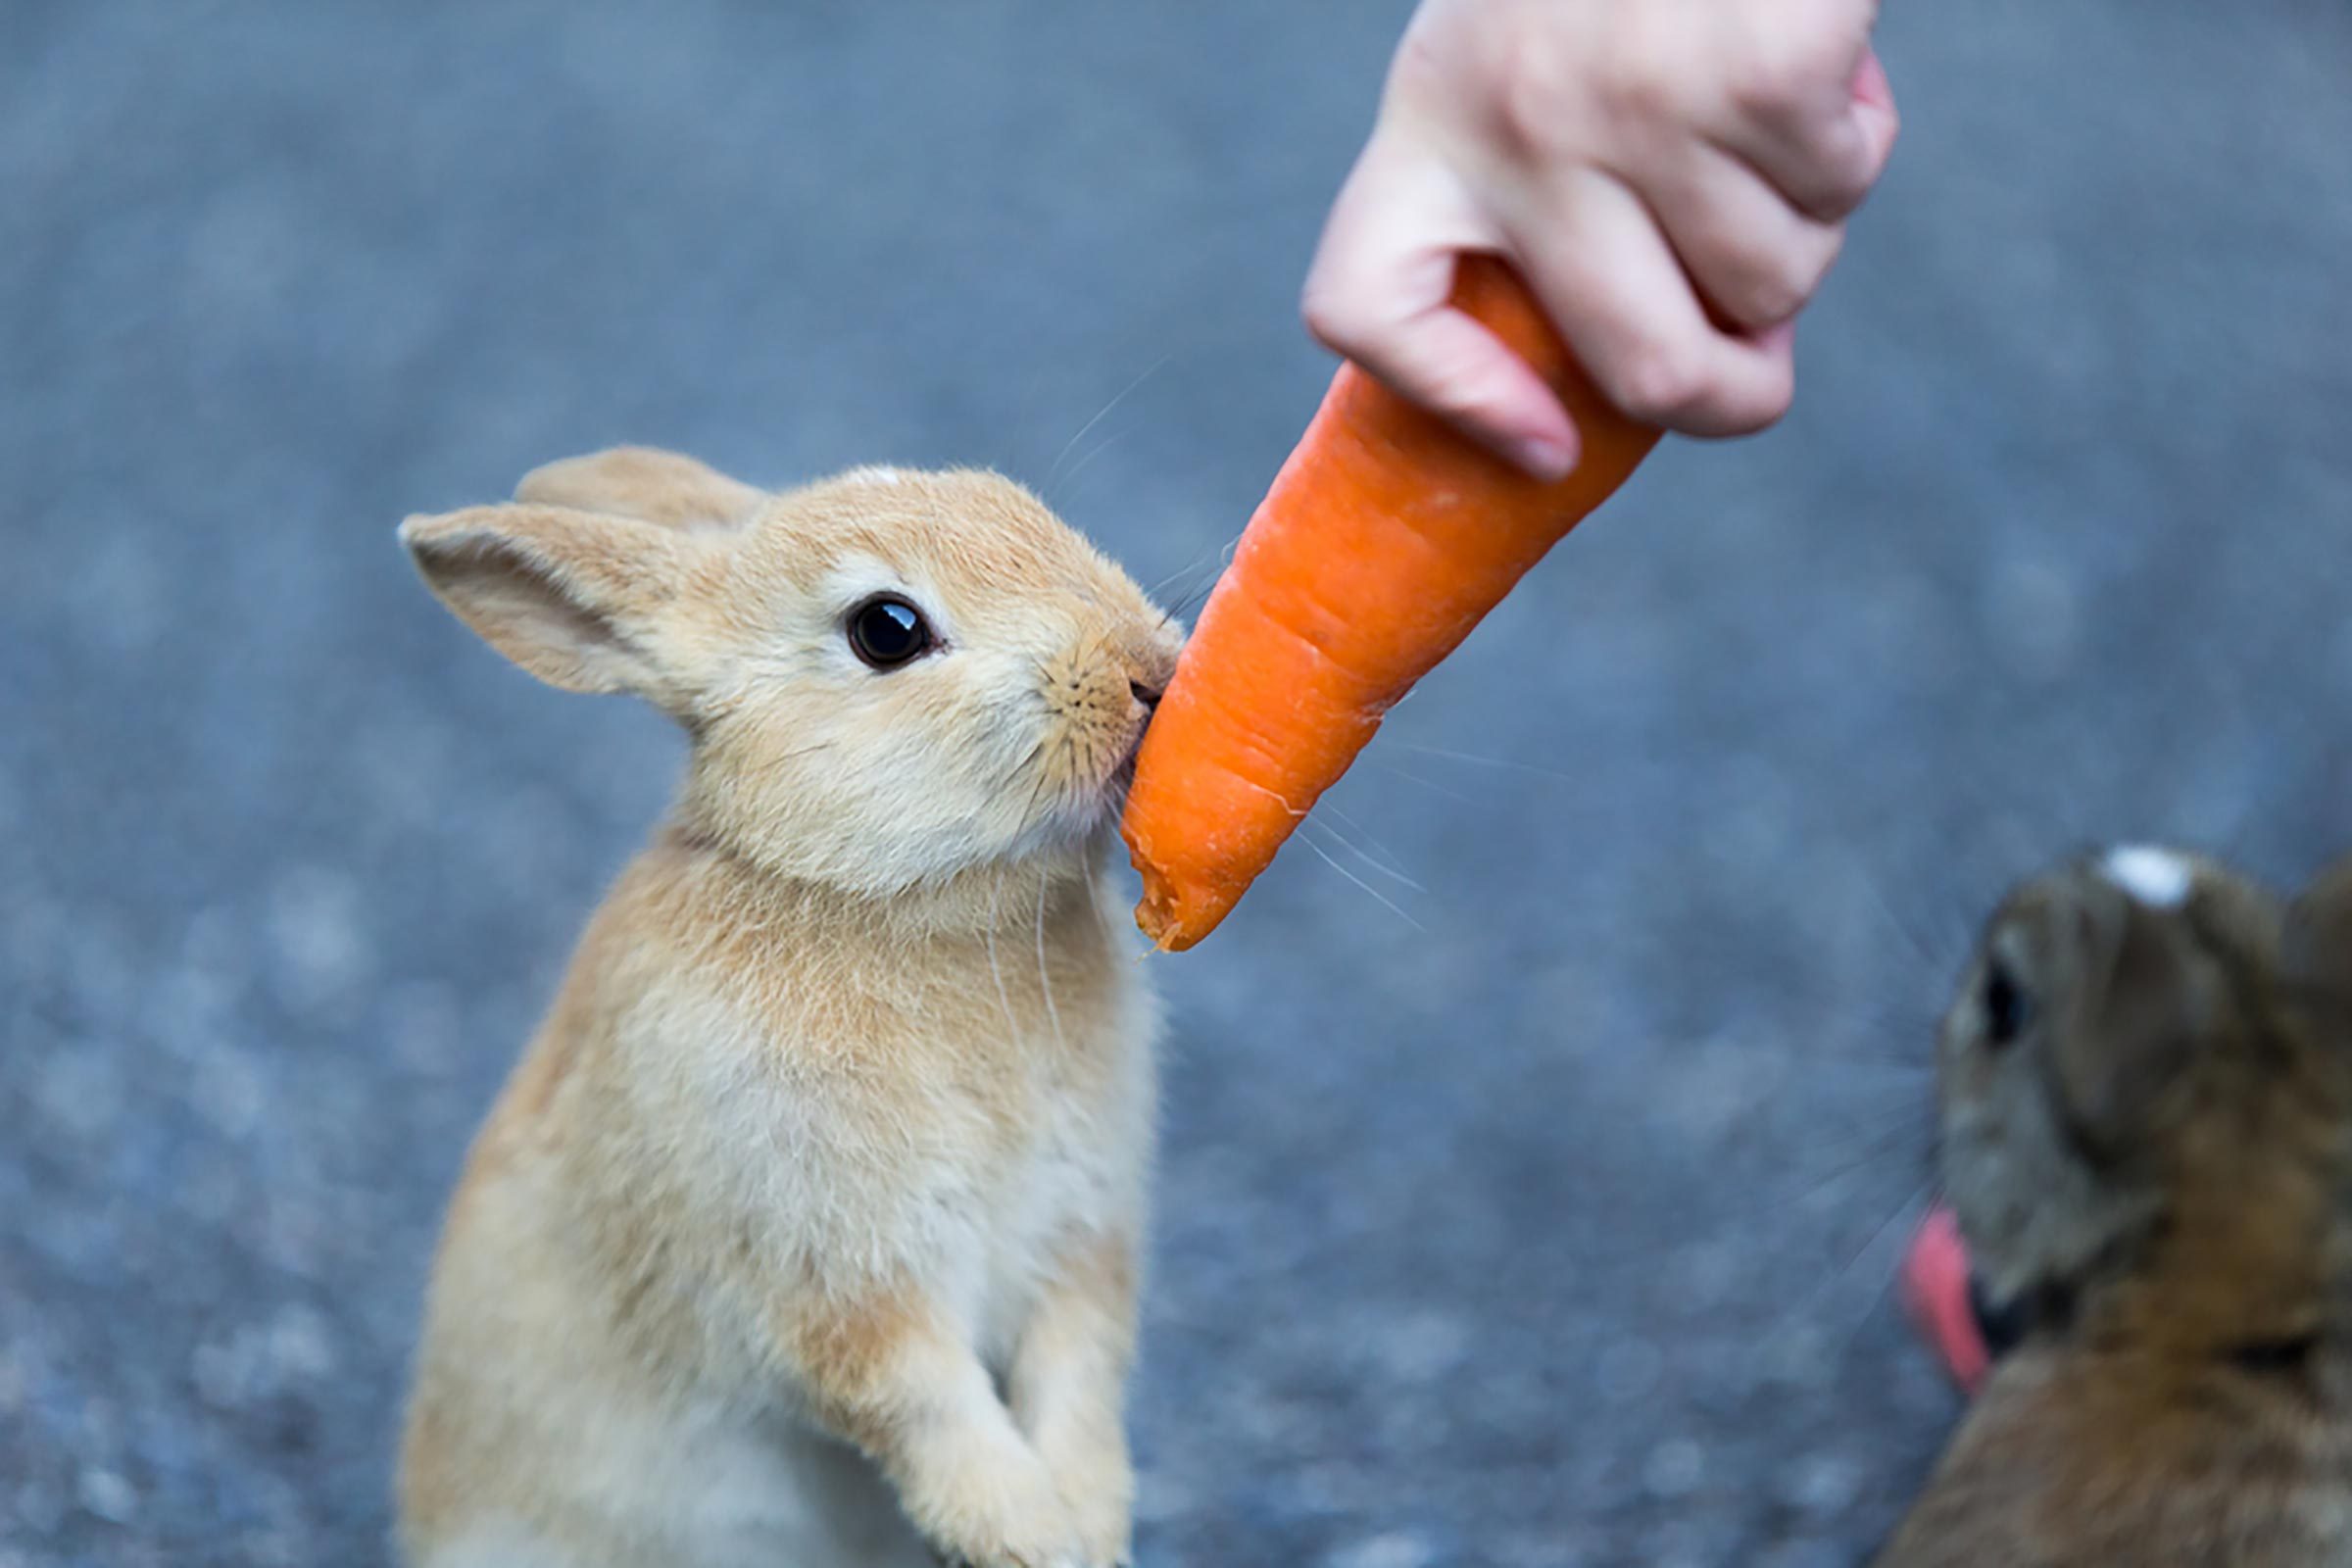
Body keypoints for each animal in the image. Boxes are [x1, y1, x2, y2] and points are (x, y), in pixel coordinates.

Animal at [392, 444, 1185, 1568]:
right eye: (886, 630)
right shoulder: (828, 1275)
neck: (881, 905)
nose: (1148, 672)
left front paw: (1088, 1520)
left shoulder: (1080, 1242)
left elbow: (1078, 1375)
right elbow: (921, 1401)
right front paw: (1033, 1536)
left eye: (1011, 498)